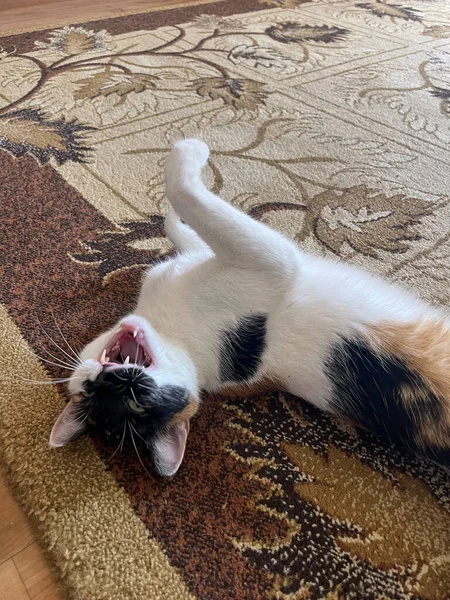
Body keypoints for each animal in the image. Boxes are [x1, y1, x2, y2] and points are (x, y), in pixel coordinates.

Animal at [49, 138, 450, 476]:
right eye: (132, 406)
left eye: (92, 391)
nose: (112, 380)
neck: (171, 332)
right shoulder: (274, 261)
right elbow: (185, 192)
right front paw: (192, 149)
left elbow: (182, 225)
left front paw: (171, 217)